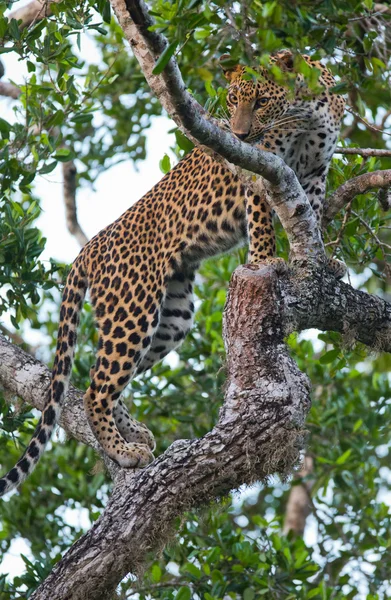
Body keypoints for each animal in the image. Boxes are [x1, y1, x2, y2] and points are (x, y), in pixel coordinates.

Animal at [0, 49, 346, 494]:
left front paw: (323, 265)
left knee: (96, 379)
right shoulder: (263, 170)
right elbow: (263, 221)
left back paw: (134, 434)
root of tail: (89, 246)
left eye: (261, 102)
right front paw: (266, 261)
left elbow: (312, 218)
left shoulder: (315, 172)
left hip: (174, 316)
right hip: (133, 309)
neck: (304, 113)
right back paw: (123, 451)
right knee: (96, 387)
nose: (240, 135)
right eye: (232, 100)